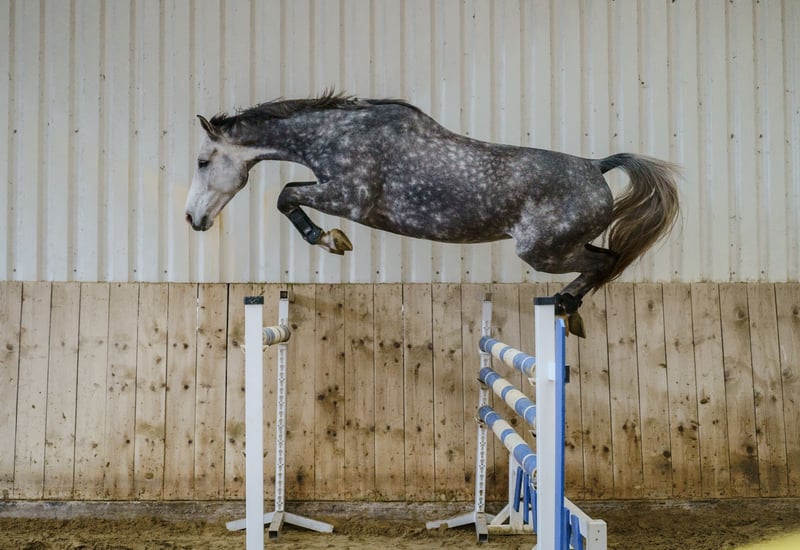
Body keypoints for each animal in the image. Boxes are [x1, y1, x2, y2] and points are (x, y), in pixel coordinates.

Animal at [184, 92, 679, 336]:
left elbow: (286, 195)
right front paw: (330, 239)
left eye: (203, 162)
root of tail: (596, 167)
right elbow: (288, 195)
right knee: (605, 261)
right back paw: (565, 309)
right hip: (559, 247)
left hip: (544, 253)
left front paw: (329, 240)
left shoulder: (351, 197)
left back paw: (566, 306)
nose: (192, 220)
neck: (338, 134)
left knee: (606, 261)